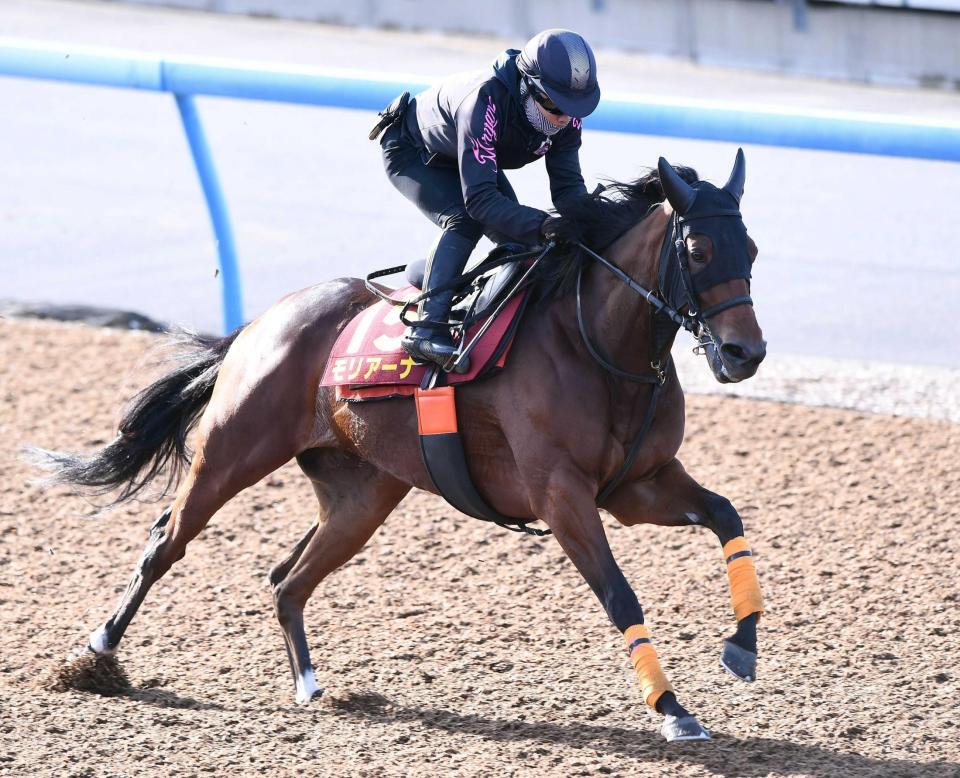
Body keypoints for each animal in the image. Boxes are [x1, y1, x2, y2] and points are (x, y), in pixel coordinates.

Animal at [39, 152, 764, 740]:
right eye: (698, 247)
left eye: (752, 249)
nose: (744, 354)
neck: (597, 344)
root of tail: (264, 320)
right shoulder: (563, 496)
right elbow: (621, 596)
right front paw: (673, 710)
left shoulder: (639, 484)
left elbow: (727, 515)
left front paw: (743, 646)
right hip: (233, 452)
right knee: (167, 540)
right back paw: (96, 653)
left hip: (362, 496)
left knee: (287, 580)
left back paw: (310, 686)